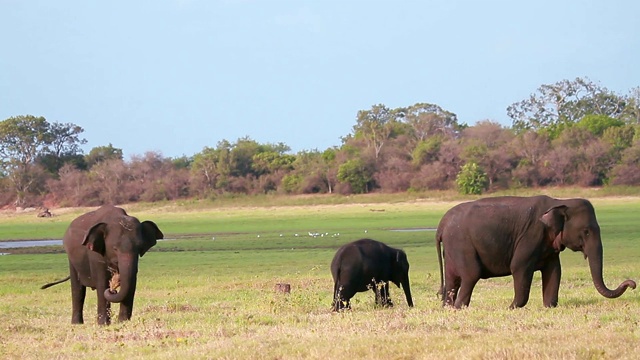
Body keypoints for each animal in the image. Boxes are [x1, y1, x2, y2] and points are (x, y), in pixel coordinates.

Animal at [436, 195, 636, 308]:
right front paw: (511, 307)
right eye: (586, 231)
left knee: (453, 280)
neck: (559, 202)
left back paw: (448, 308)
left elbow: (554, 270)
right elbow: (519, 267)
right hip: (462, 244)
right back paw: (459, 308)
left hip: (453, 250)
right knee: (471, 274)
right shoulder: (530, 236)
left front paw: (549, 306)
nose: (632, 284)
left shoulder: (549, 247)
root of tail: (441, 225)